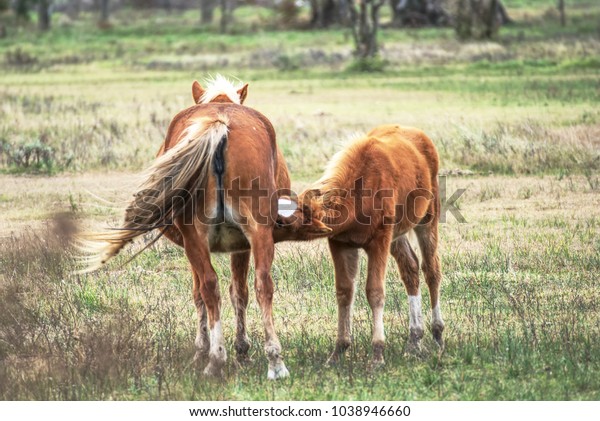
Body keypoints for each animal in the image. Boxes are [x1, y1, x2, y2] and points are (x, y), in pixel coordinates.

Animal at [81, 77, 292, 378]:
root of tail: (219, 123)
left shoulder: (214, 247)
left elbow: (207, 294)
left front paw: (212, 349)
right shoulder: (241, 245)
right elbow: (238, 292)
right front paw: (238, 349)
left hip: (197, 240)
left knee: (209, 288)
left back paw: (216, 359)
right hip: (259, 234)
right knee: (262, 285)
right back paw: (274, 362)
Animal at [276, 124, 446, 364]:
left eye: (283, 221)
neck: (358, 193)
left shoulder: (379, 242)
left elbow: (374, 292)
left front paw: (377, 354)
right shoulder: (341, 244)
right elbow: (344, 291)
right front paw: (338, 351)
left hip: (427, 219)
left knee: (431, 269)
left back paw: (437, 335)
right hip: (397, 234)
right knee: (410, 268)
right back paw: (414, 340)